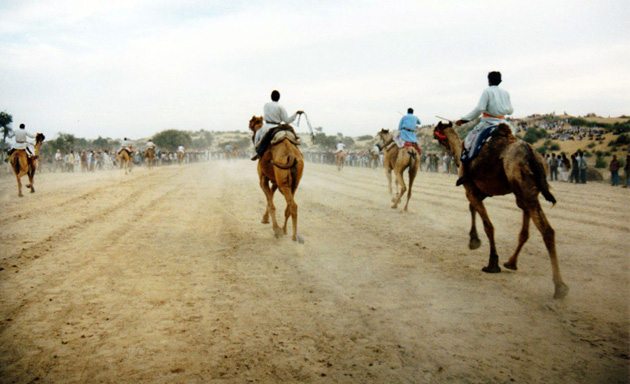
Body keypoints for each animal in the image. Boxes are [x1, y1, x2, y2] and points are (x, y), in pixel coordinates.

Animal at [436, 121, 572, 300]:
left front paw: (491, 262)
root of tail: (531, 153)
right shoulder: (485, 191)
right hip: (527, 190)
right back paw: (516, 264)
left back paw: (559, 287)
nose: (435, 135)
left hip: (520, 182)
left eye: (438, 131)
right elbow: (474, 209)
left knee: (546, 229)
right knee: (537, 229)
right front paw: (476, 242)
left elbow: (488, 226)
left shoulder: (470, 189)